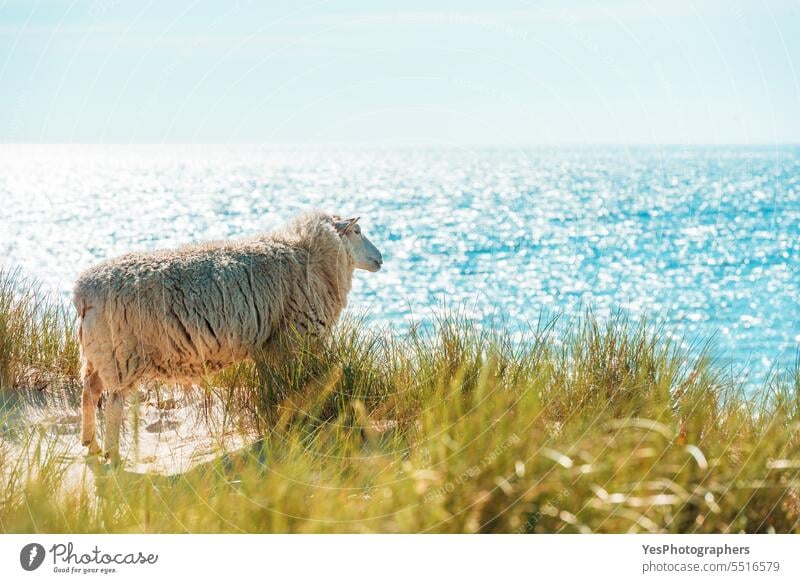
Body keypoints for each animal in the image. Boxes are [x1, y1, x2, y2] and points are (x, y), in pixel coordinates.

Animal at [75, 212, 384, 464]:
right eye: (357, 231)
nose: (381, 258)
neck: (308, 256)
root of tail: (83, 292)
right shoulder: (288, 340)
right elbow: (285, 390)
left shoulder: (267, 346)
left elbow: (270, 389)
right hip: (122, 355)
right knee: (114, 404)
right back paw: (113, 455)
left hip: (97, 353)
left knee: (89, 391)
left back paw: (91, 444)